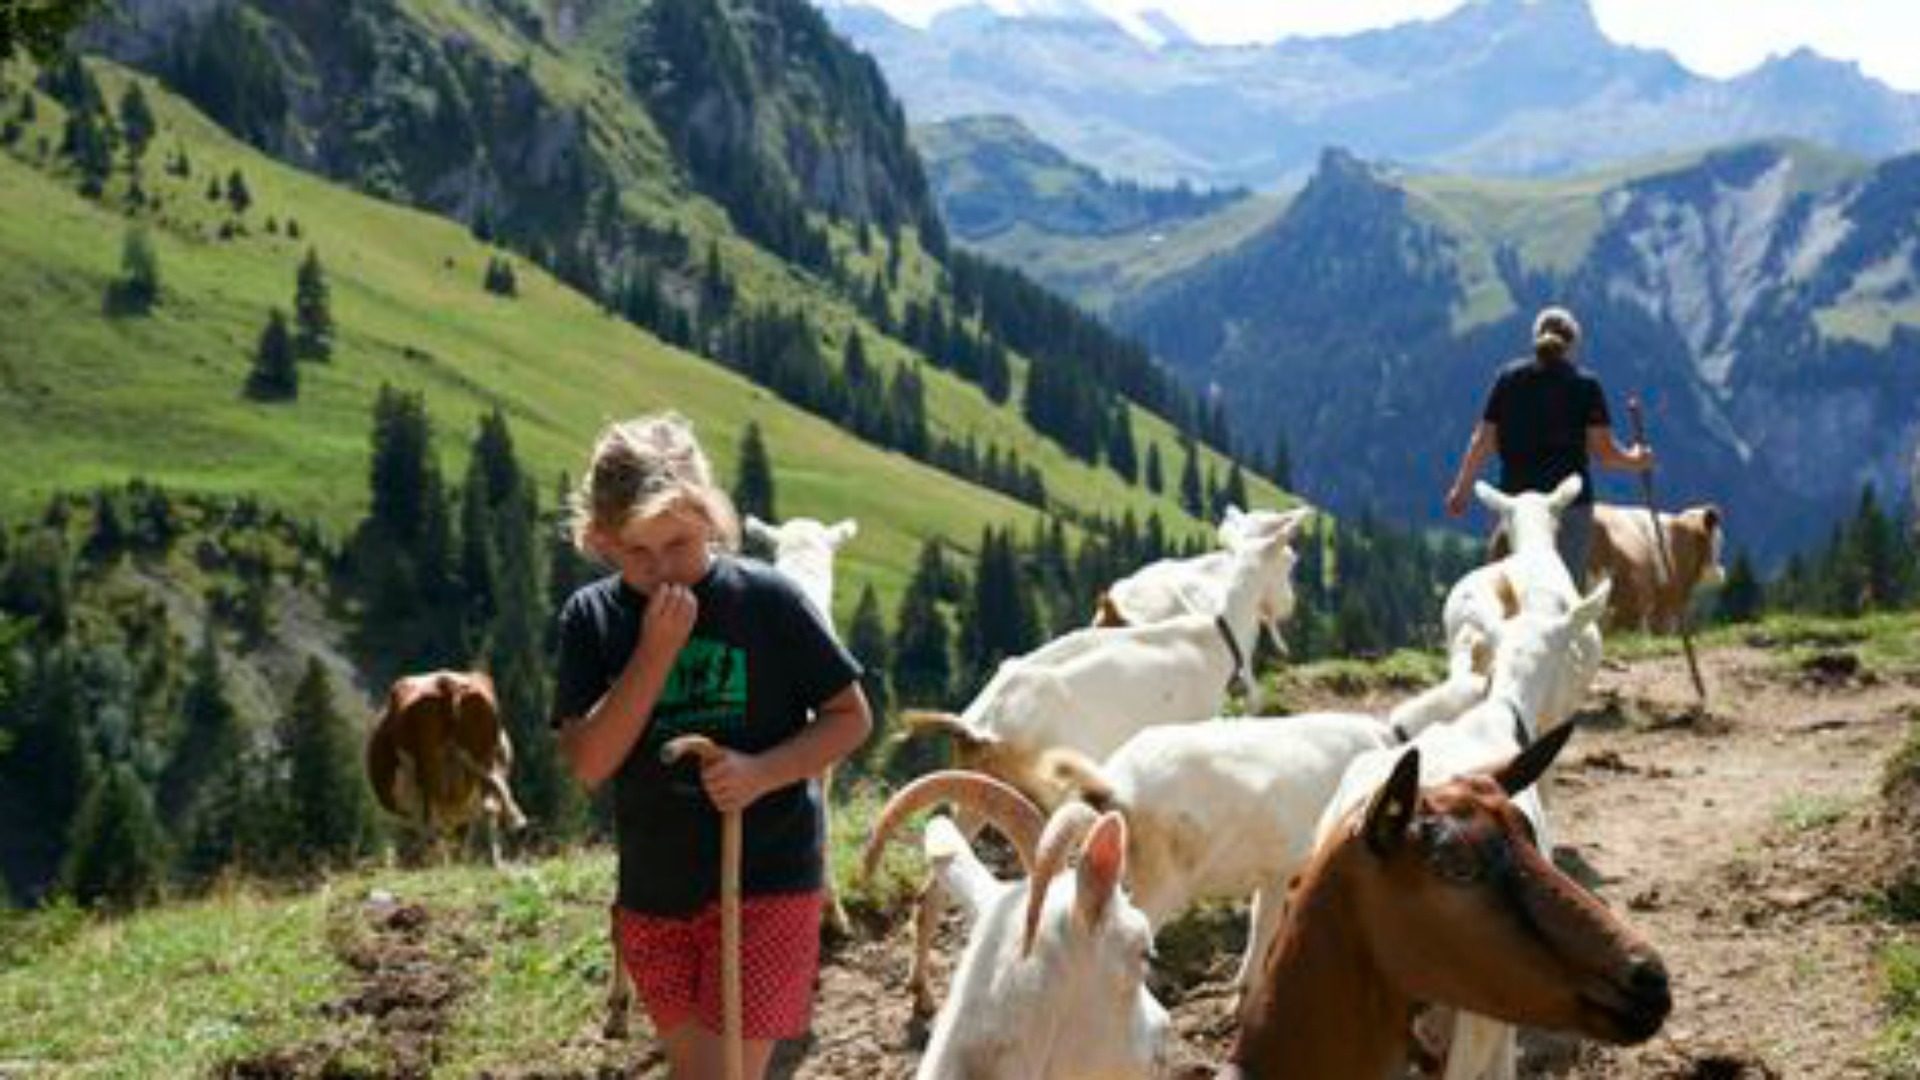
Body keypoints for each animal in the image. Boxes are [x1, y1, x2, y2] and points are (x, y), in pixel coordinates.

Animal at [364, 668, 526, 860]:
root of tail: (448, 683)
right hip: (481, 754)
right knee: (492, 796)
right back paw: (514, 829)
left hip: (429, 765)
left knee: (432, 816)